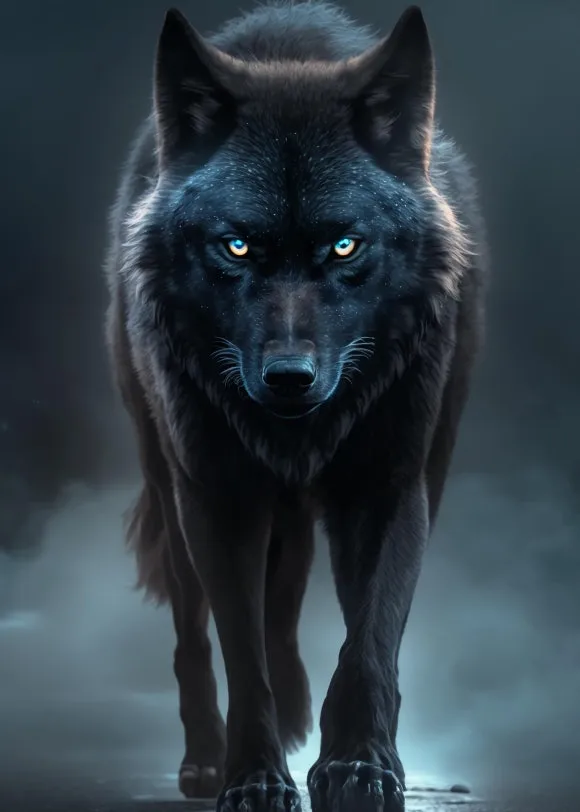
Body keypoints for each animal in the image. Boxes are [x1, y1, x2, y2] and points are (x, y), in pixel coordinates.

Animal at [105, 2, 486, 811]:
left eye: (344, 247)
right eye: (236, 247)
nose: (288, 378)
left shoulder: (390, 488)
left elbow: (368, 640)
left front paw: (359, 767)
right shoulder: (217, 498)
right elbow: (239, 652)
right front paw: (253, 777)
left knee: (286, 614)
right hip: (168, 484)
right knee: (194, 635)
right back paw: (205, 760)